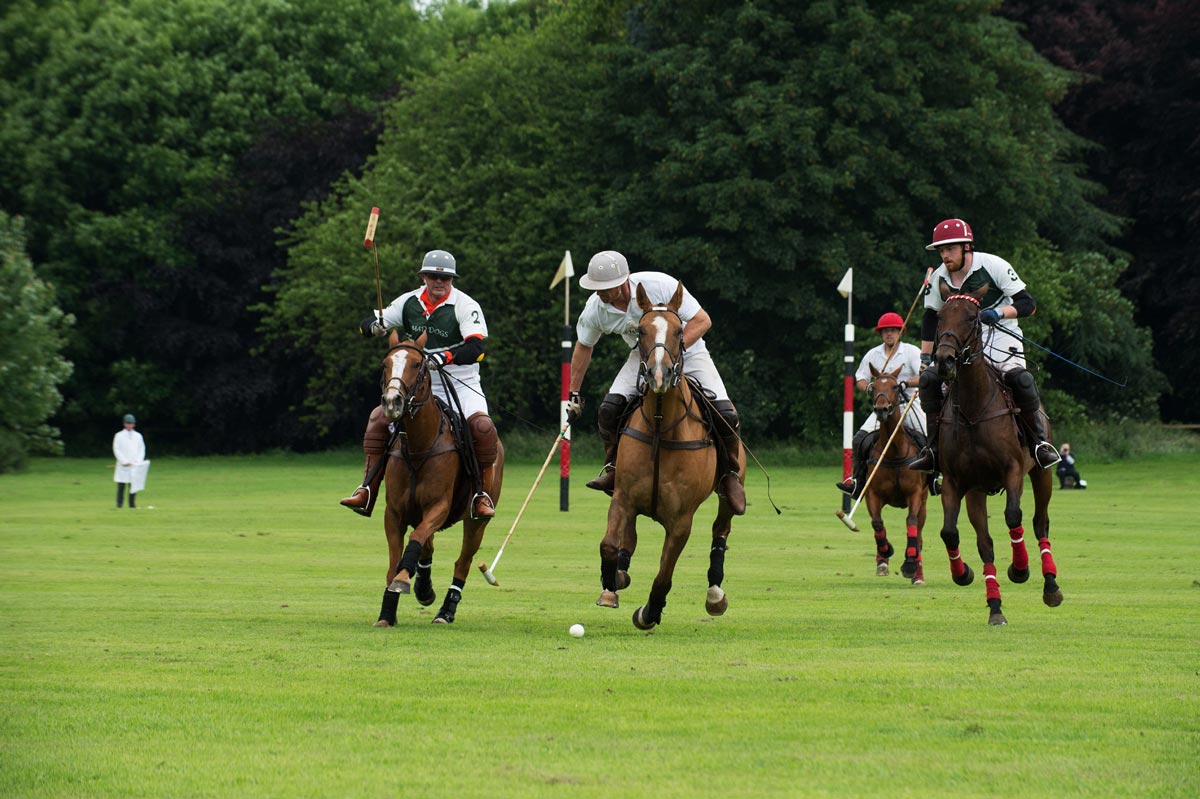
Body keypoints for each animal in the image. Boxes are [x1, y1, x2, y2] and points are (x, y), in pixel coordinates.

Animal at [374, 333, 506, 623]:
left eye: (417, 365)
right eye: (385, 363)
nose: (392, 402)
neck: (418, 446)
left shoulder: (439, 506)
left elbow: (415, 540)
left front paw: (404, 579)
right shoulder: (394, 512)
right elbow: (393, 561)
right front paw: (387, 612)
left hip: (476, 522)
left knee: (463, 562)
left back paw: (445, 610)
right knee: (428, 547)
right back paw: (424, 587)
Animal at [595, 281, 744, 628]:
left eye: (679, 331)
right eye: (642, 331)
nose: (658, 375)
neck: (662, 427)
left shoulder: (681, 521)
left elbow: (664, 574)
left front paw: (649, 611)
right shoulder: (623, 497)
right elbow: (609, 544)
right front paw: (610, 581)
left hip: (728, 491)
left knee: (721, 530)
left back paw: (715, 593)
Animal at [864, 364, 926, 583]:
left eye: (894, 387)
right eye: (873, 388)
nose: (881, 409)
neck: (893, 451)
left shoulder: (915, 493)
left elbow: (911, 521)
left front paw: (909, 563)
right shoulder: (873, 494)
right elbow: (876, 523)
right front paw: (885, 552)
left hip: (924, 499)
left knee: (919, 532)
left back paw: (917, 572)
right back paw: (882, 562)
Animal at [926, 283, 1060, 623]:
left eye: (972, 317)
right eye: (940, 316)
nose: (945, 360)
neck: (974, 410)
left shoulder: (1013, 471)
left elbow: (1014, 516)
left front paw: (1020, 568)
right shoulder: (956, 482)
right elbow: (950, 532)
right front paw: (963, 574)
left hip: (1042, 474)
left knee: (1040, 522)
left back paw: (1050, 585)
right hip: (977, 492)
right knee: (984, 542)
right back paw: (995, 606)